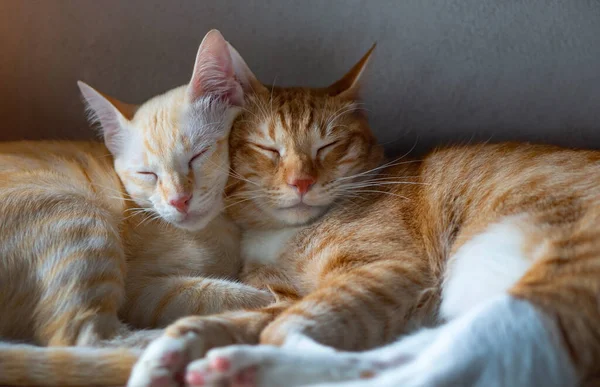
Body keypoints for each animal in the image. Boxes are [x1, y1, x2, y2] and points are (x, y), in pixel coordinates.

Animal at [0, 30, 272, 387]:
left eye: (197, 156)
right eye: (147, 174)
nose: (179, 200)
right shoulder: (138, 289)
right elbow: (210, 293)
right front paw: (261, 301)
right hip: (77, 217)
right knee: (83, 340)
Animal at [129, 44, 596, 386]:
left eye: (328, 146)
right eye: (269, 149)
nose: (301, 182)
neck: (279, 236)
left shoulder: (386, 269)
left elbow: (279, 323)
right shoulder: (284, 296)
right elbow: (227, 319)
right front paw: (168, 351)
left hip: (543, 293)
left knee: (409, 370)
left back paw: (244, 366)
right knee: (394, 358)